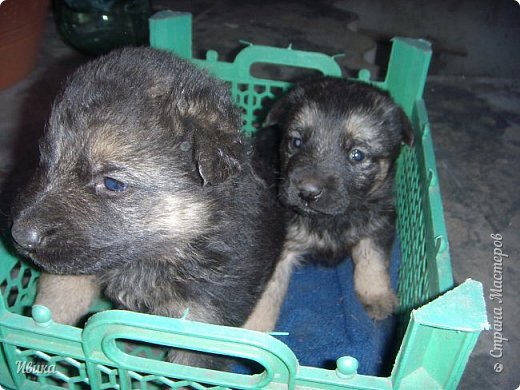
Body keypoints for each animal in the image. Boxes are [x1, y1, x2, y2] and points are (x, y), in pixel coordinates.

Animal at [9, 47, 284, 368]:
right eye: (45, 160)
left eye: (112, 183)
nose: (19, 236)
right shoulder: (82, 262)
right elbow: (57, 297)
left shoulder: (203, 326)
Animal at [260, 77, 414, 322]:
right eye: (296, 142)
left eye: (357, 155)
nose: (307, 192)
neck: (332, 219)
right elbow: (266, 295)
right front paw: (253, 329)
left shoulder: (379, 223)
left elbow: (373, 260)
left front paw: (377, 296)